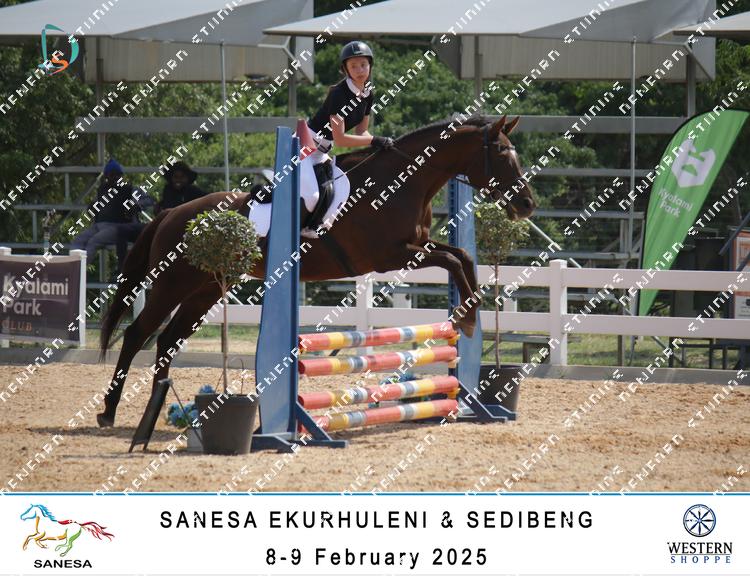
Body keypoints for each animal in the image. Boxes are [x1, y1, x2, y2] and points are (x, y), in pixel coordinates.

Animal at [96, 114, 536, 428]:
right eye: (501, 151)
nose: (527, 204)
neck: (400, 184)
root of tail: (172, 213)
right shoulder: (391, 256)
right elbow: (452, 260)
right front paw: (468, 318)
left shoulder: (414, 248)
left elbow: (461, 256)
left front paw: (469, 313)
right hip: (172, 283)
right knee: (137, 335)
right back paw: (109, 411)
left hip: (205, 289)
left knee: (167, 339)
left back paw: (161, 407)